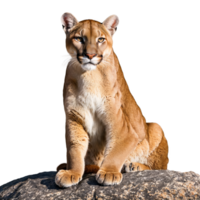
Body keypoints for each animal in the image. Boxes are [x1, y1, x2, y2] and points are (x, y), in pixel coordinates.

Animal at [55, 12, 170, 188]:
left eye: (100, 39)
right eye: (79, 38)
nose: (90, 55)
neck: (89, 76)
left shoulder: (121, 126)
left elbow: (115, 151)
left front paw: (108, 173)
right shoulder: (73, 118)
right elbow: (74, 148)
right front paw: (72, 173)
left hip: (157, 128)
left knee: (160, 168)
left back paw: (134, 166)